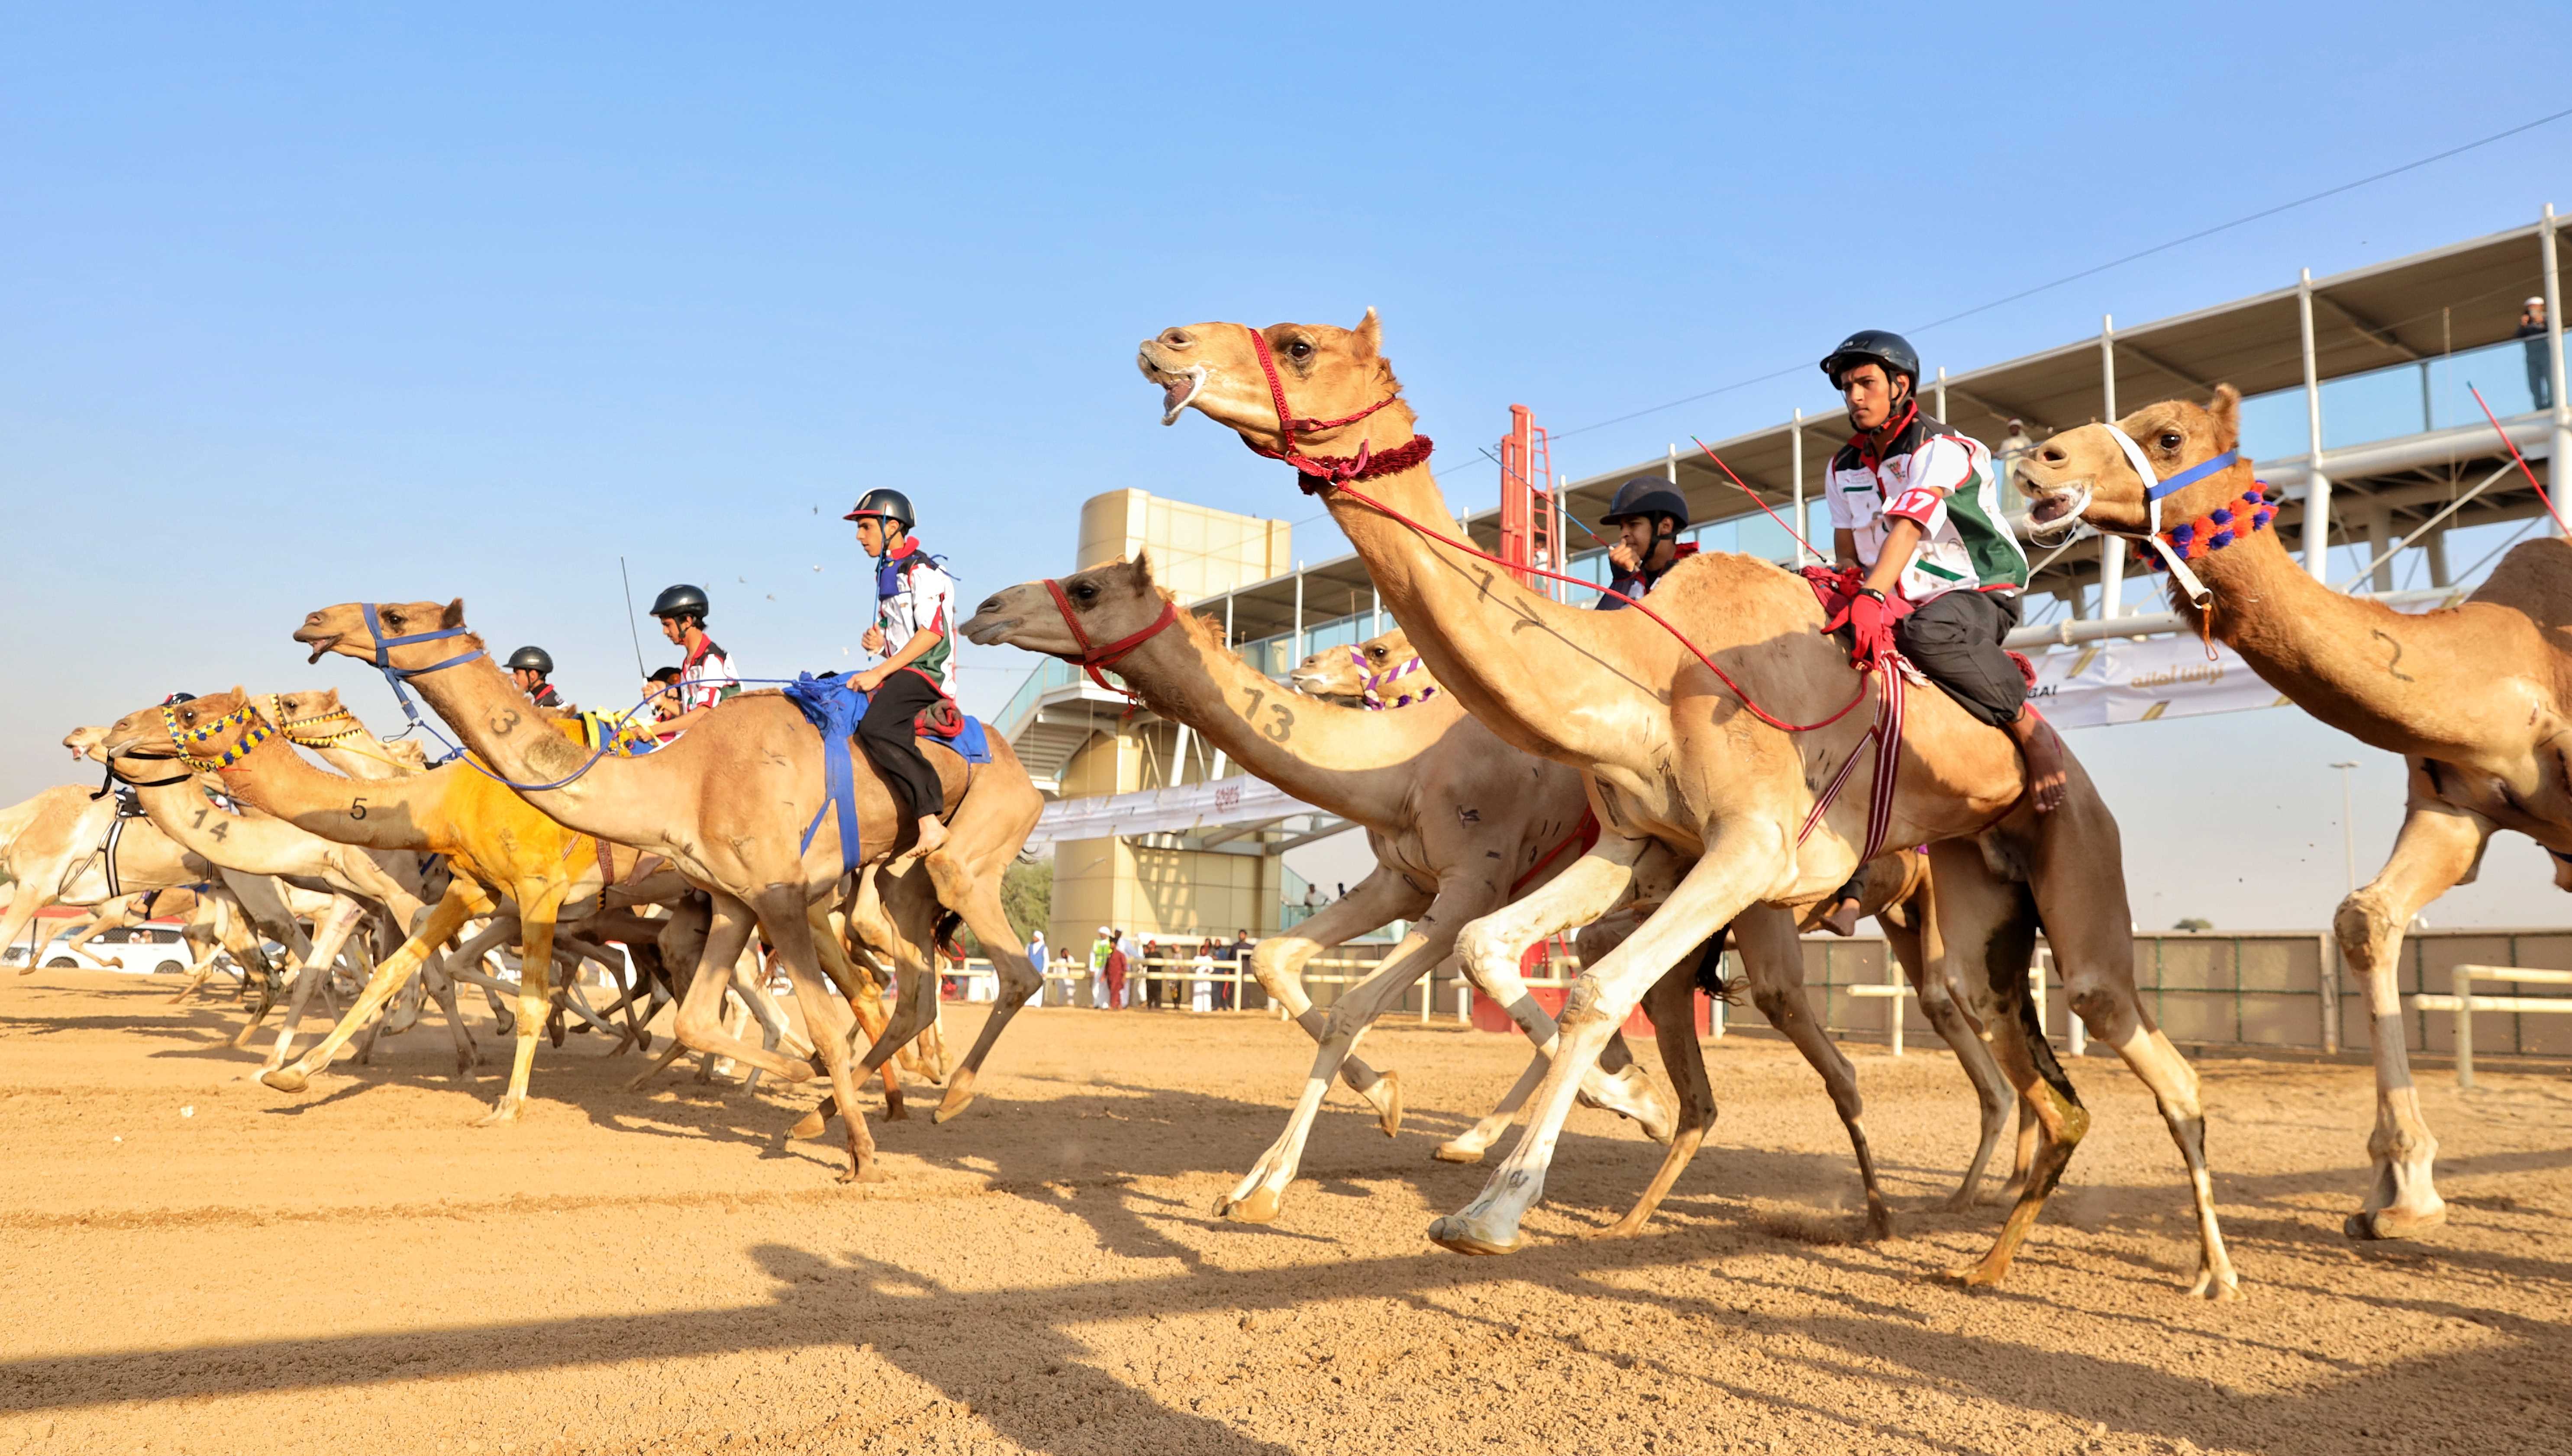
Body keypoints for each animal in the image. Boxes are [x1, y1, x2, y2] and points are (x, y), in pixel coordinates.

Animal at [1147, 314, 2232, 1296]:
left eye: (1298, 344)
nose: (1165, 344)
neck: (1648, 673)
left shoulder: (1744, 846)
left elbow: (1582, 988)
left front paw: (1497, 1205)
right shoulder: (1629, 840)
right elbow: (1492, 956)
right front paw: (1279, 1185)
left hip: (2063, 852)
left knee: (2115, 1035)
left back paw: (2196, 1269)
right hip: (1964, 901)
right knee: (1982, 1022)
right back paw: (1972, 1226)